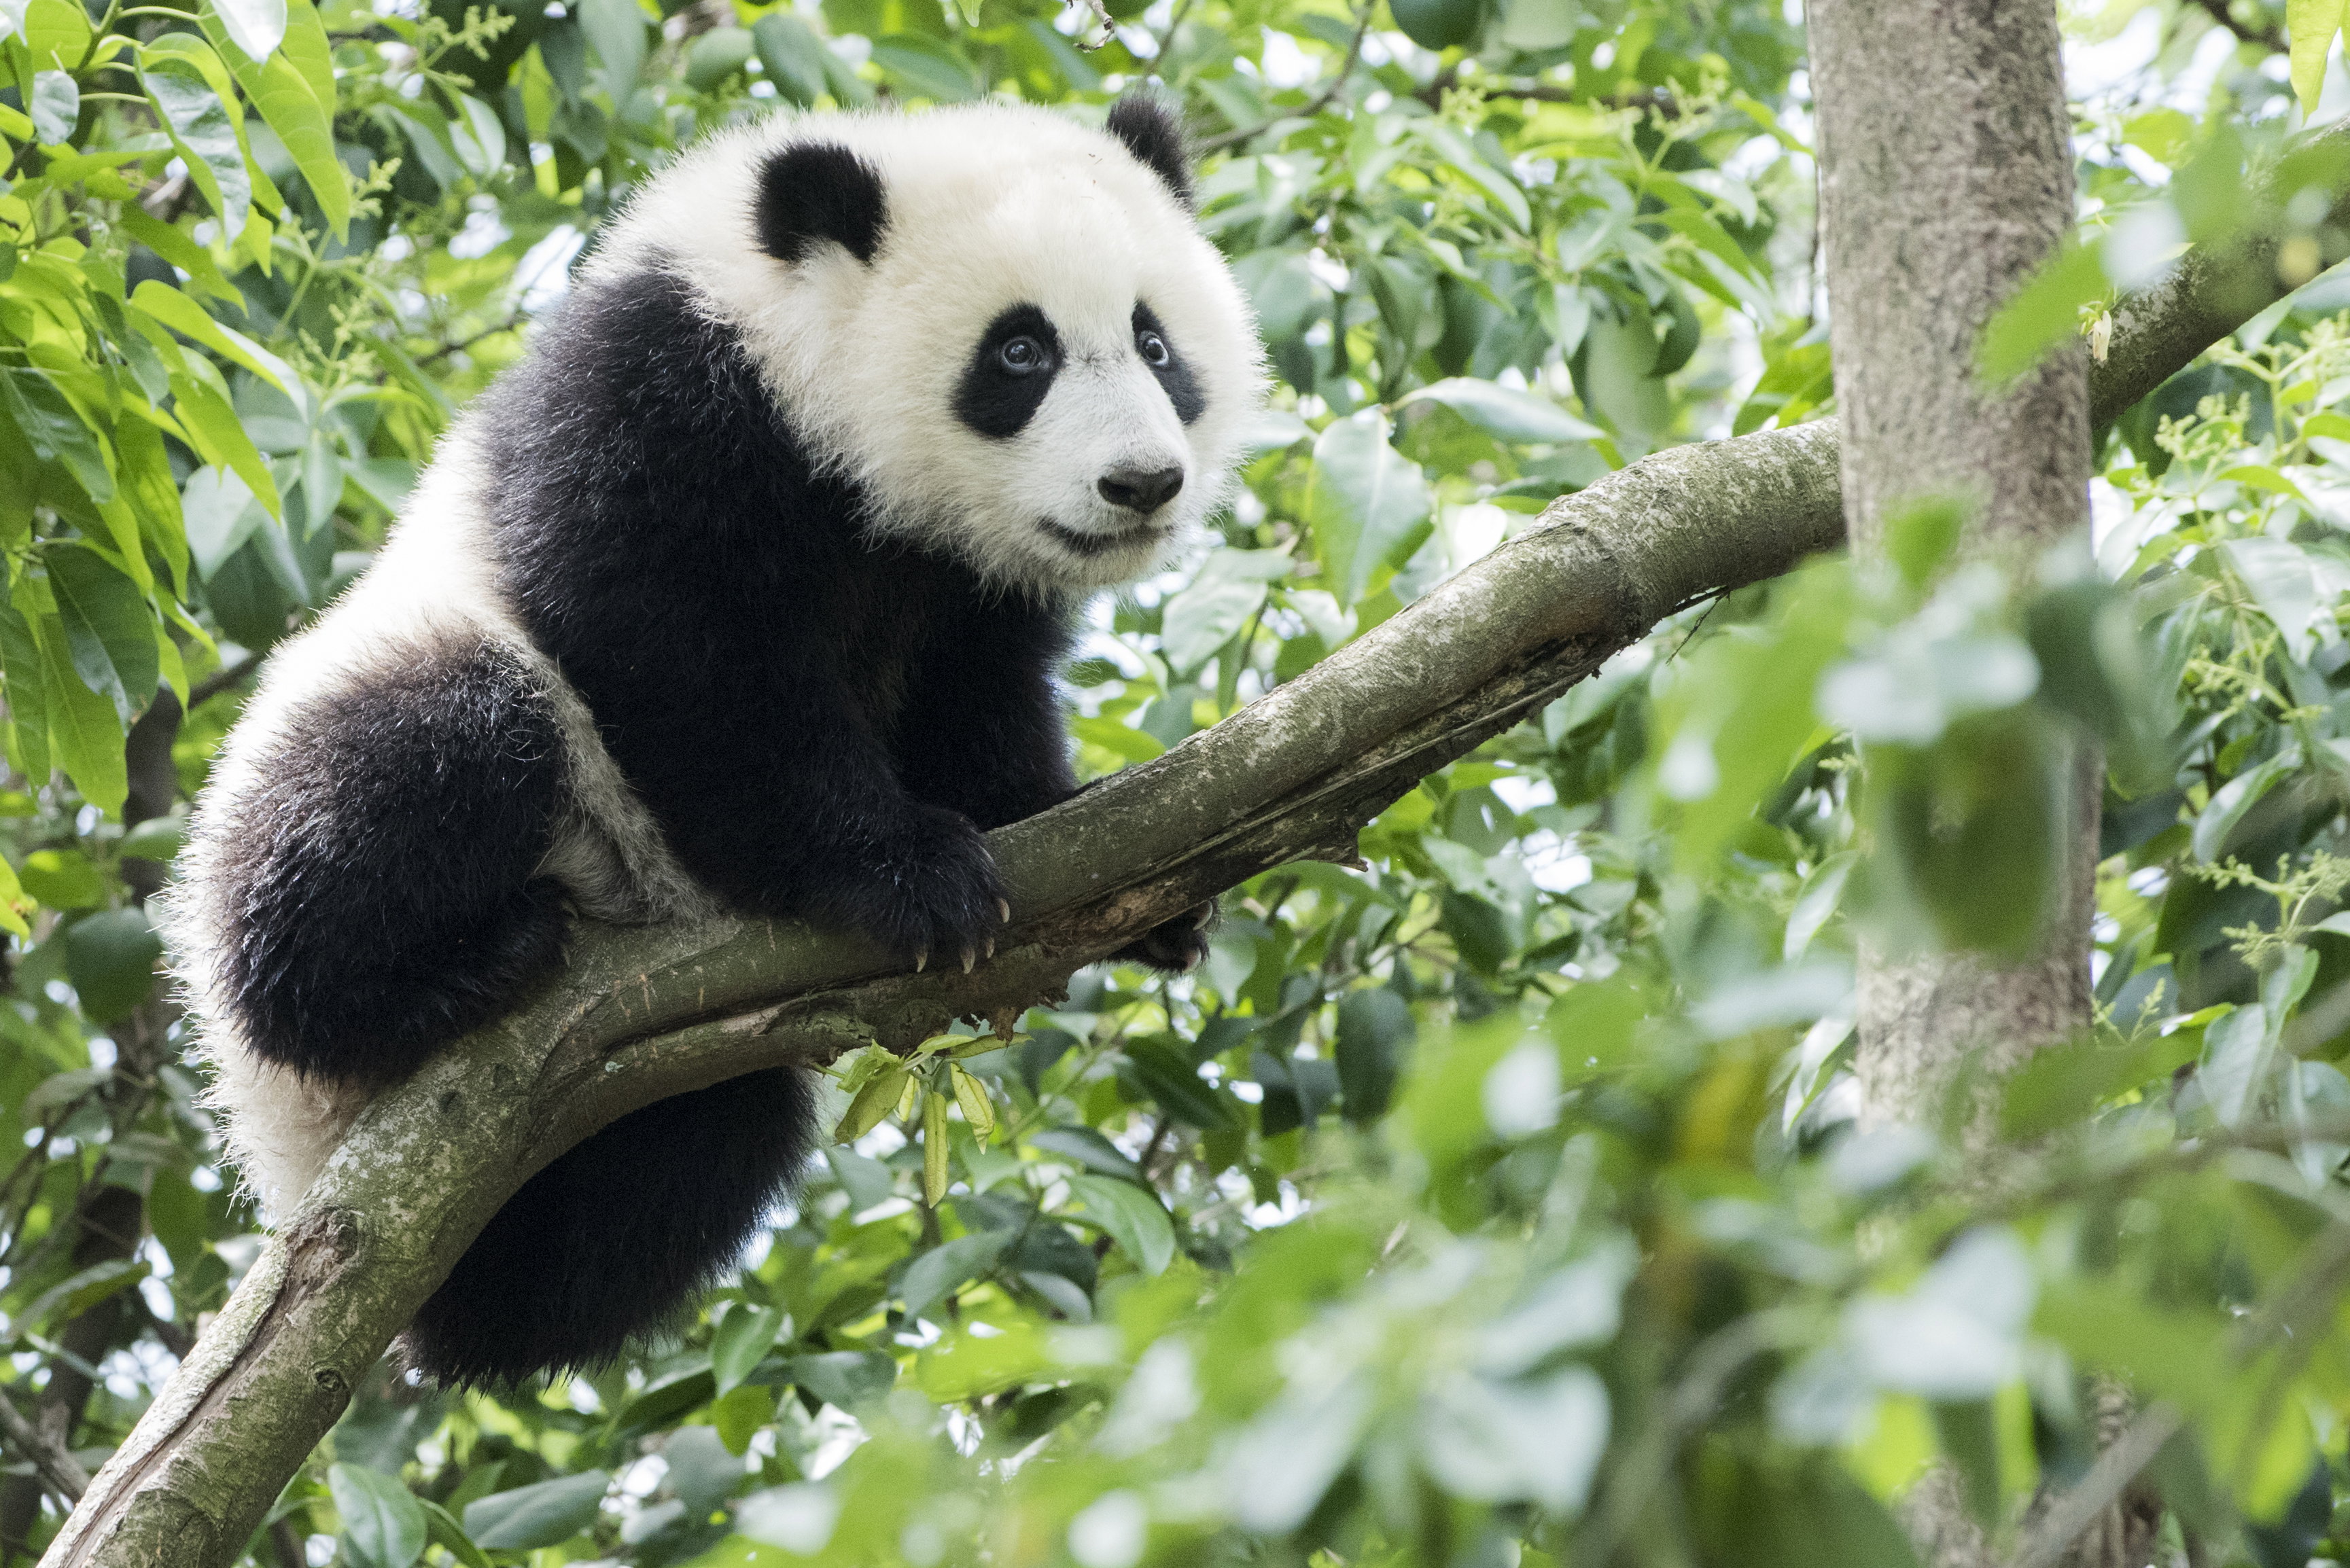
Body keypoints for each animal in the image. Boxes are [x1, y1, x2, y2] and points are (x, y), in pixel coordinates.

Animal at [163, 94, 1263, 1387]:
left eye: (1154, 343)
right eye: (1019, 354)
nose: (1140, 485)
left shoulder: (962, 583)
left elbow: (975, 706)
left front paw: (1118, 875)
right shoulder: (666, 401)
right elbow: (677, 657)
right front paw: (909, 874)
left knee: (694, 1152)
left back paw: (499, 1283)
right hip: (368, 724)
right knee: (426, 752)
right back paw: (439, 976)